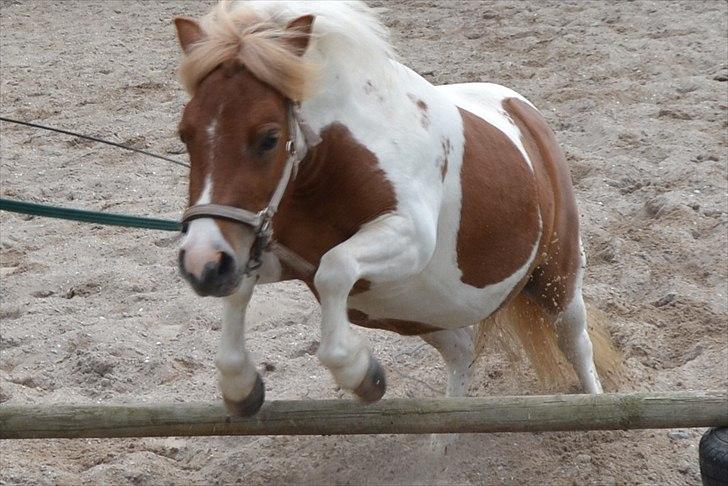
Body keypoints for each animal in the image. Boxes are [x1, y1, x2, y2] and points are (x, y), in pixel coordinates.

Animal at [174, 0, 610, 417]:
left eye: (268, 138)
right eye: (185, 135)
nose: (202, 264)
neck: (330, 164)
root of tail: (524, 111)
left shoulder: (408, 239)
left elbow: (335, 268)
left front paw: (359, 373)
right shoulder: (277, 257)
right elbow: (242, 289)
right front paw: (241, 386)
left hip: (557, 280)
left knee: (575, 343)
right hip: (420, 316)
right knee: (462, 352)